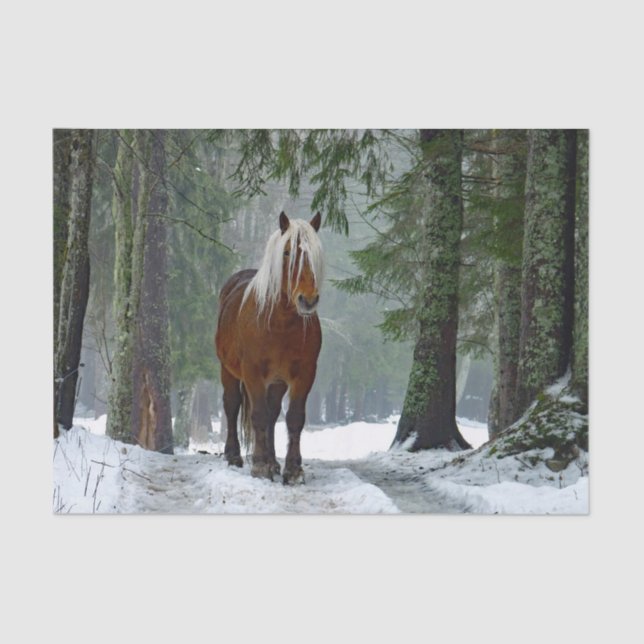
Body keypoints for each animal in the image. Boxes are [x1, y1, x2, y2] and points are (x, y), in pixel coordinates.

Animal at [215, 211, 324, 484]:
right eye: (287, 253)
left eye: (316, 254)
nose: (308, 300)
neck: (279, 324)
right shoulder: (252, 372)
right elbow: (258, 415)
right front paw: (260, 466)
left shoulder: (304, 373)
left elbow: (293, 418)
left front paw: (292, 469)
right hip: (228, 370)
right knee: (232, 406)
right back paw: (235, 456)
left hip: (277, 380)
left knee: (274, 414)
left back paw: (274, 461)